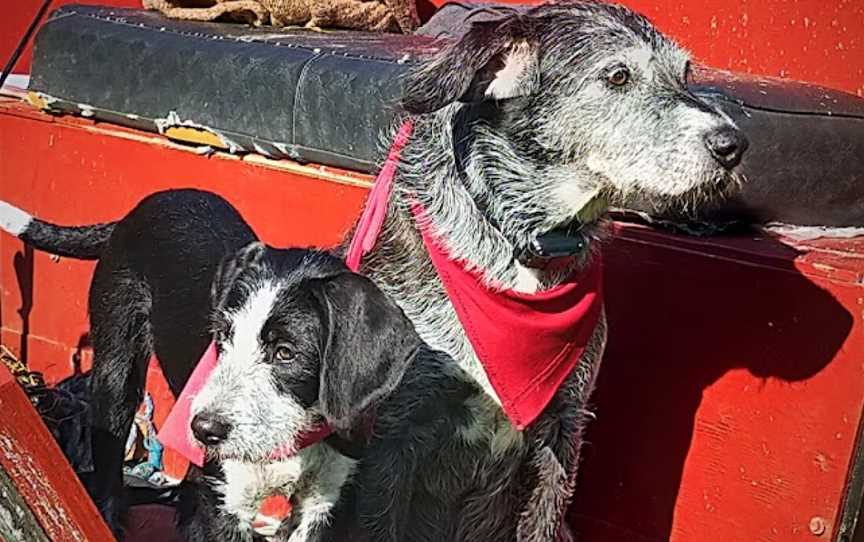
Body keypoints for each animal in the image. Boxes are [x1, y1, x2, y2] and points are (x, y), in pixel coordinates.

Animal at [330, 2, 748, 540]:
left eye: (686, 73)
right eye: (617, 75)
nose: (732, 144)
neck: (525, 243)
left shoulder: (563, 426)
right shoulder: (391, 435)